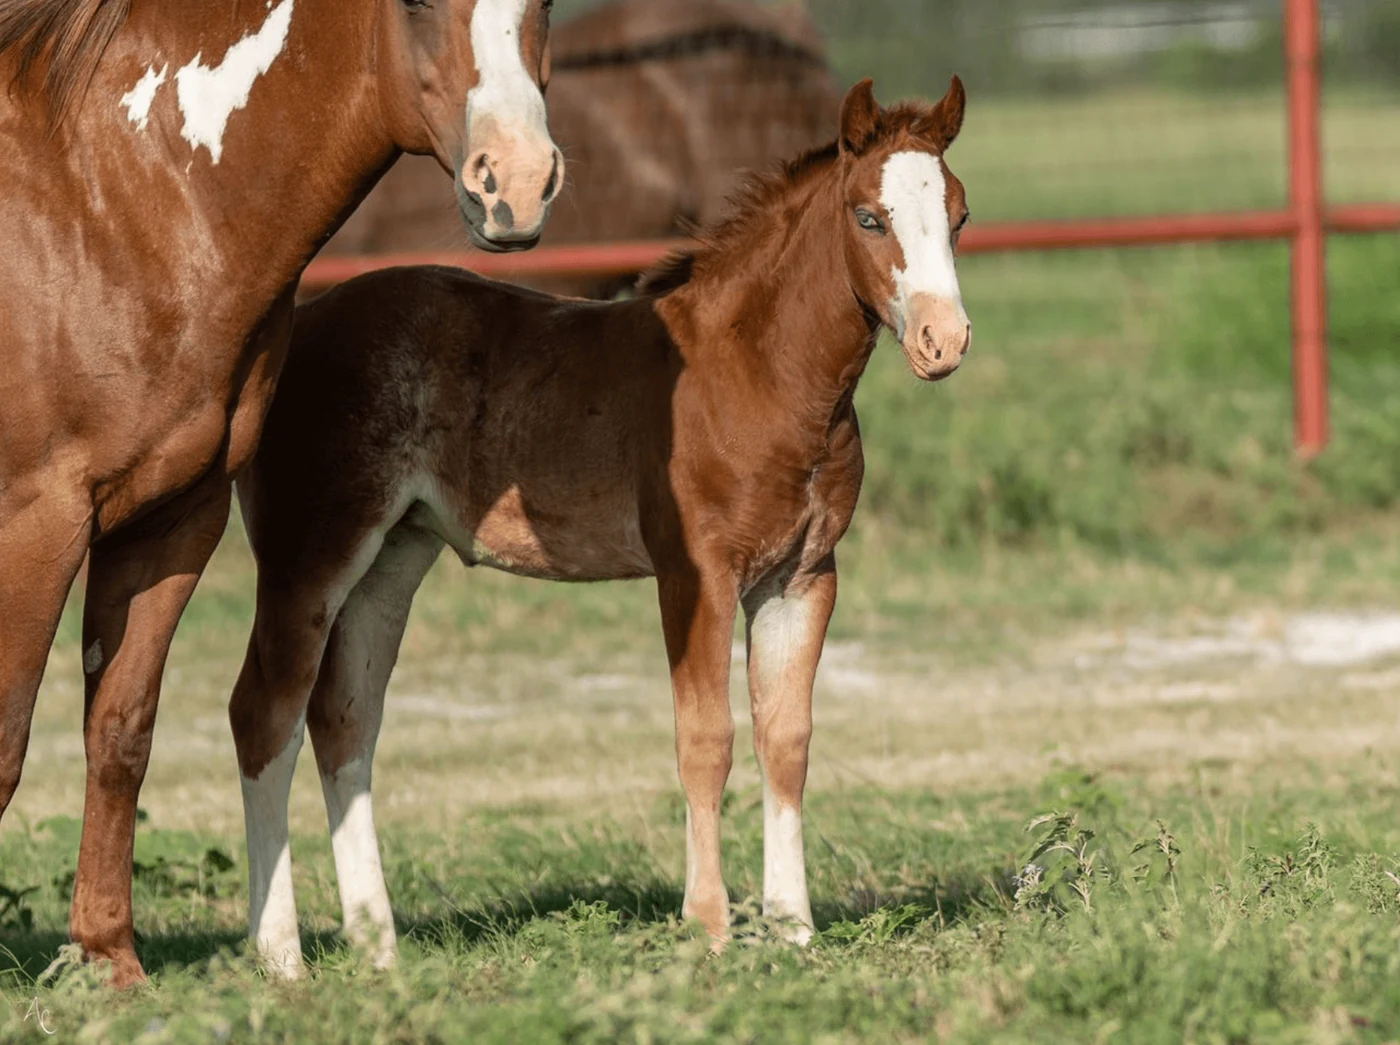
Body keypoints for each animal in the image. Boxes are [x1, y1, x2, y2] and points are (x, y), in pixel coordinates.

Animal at [0, 0, 563, 987]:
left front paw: (109, 961)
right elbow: (6, 741)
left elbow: (120, 732)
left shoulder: (172, 520)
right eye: (416, 7)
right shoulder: (35, 523)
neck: (112, 197)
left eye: (549, 8)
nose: (519, 183)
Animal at [230, 75, 970, 973]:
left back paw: (377, 941)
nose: (944, 340)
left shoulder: (802, 577)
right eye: (869, 217)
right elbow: (706, 739)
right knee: (264, 712)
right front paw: (710, 925)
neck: (758, 372)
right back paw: (282, 955)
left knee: (344, 719)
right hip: (308, 555)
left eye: (959, 214)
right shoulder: (695, 573)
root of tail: (298, 334)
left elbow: (786, 738)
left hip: (391, 560)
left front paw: (792, 925)